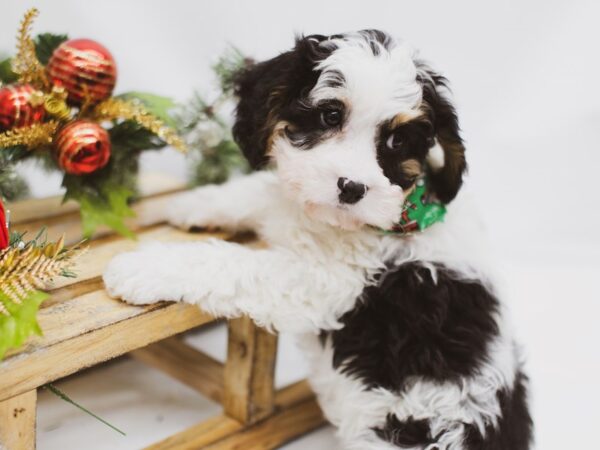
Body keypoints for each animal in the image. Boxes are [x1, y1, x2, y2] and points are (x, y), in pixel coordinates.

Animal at [104, 29, 536, 448]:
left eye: (397, 142)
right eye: (330, 115)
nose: (352, 188)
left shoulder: (325, 282)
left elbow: (234, 263)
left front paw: (141, 267)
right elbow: (260, 192)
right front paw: (188, 203)